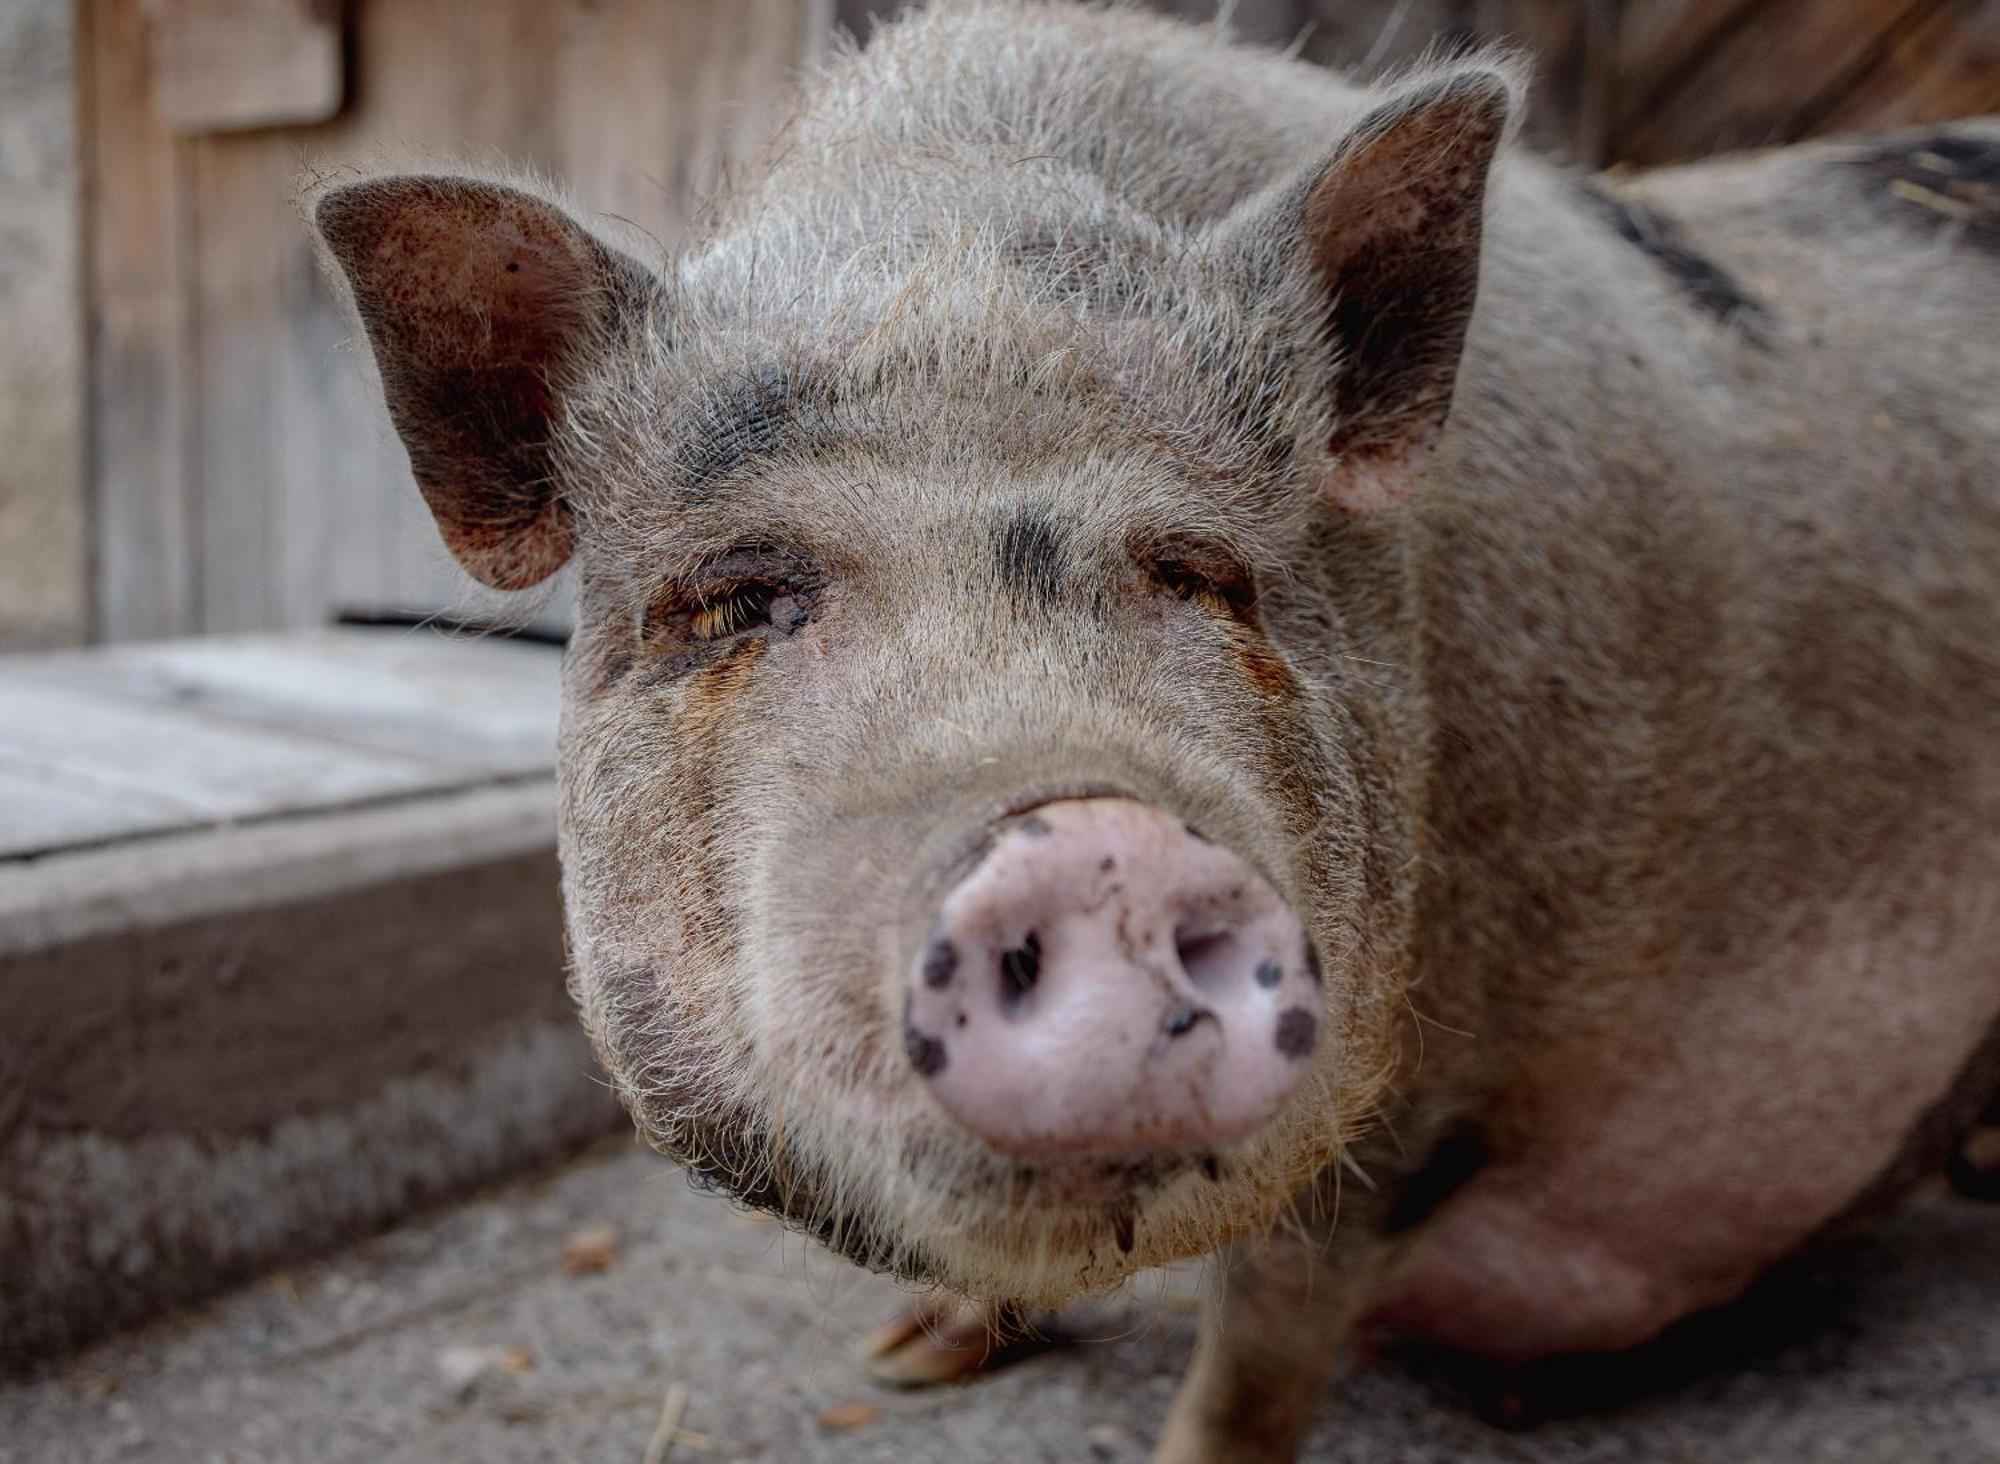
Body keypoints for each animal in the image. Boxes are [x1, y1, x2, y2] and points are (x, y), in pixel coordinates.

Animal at [308, 0, 2000, 1456]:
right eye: (738, 597)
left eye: (1205, 575)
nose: (1094, 844)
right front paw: (903, 1364)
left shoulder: (1424, 1092)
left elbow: (1260, 1349)